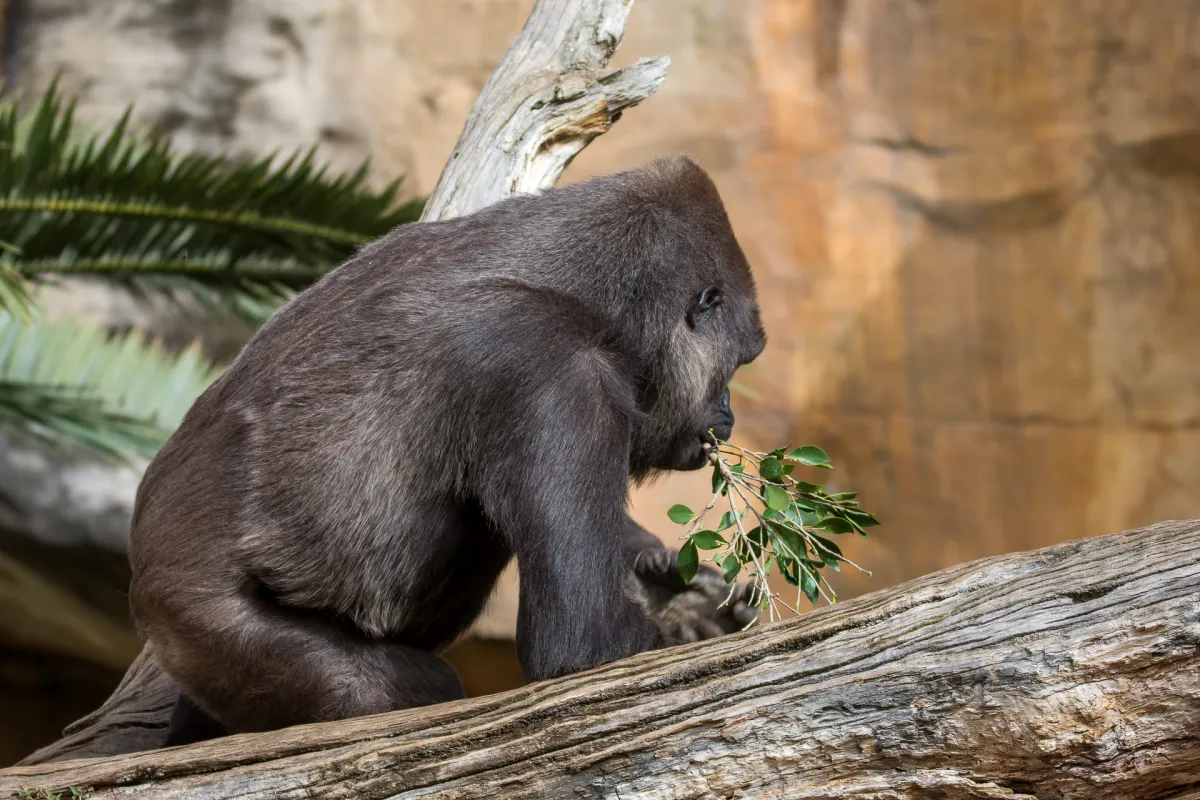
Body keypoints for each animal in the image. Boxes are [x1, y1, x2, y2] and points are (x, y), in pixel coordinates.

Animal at [129, 155, 768, 743]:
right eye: (739, 362)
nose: (729, 416)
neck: (589, 293)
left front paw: (666, 588)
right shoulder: (554, 370)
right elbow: (583, 640)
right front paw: (683, 624)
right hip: (196, 618)